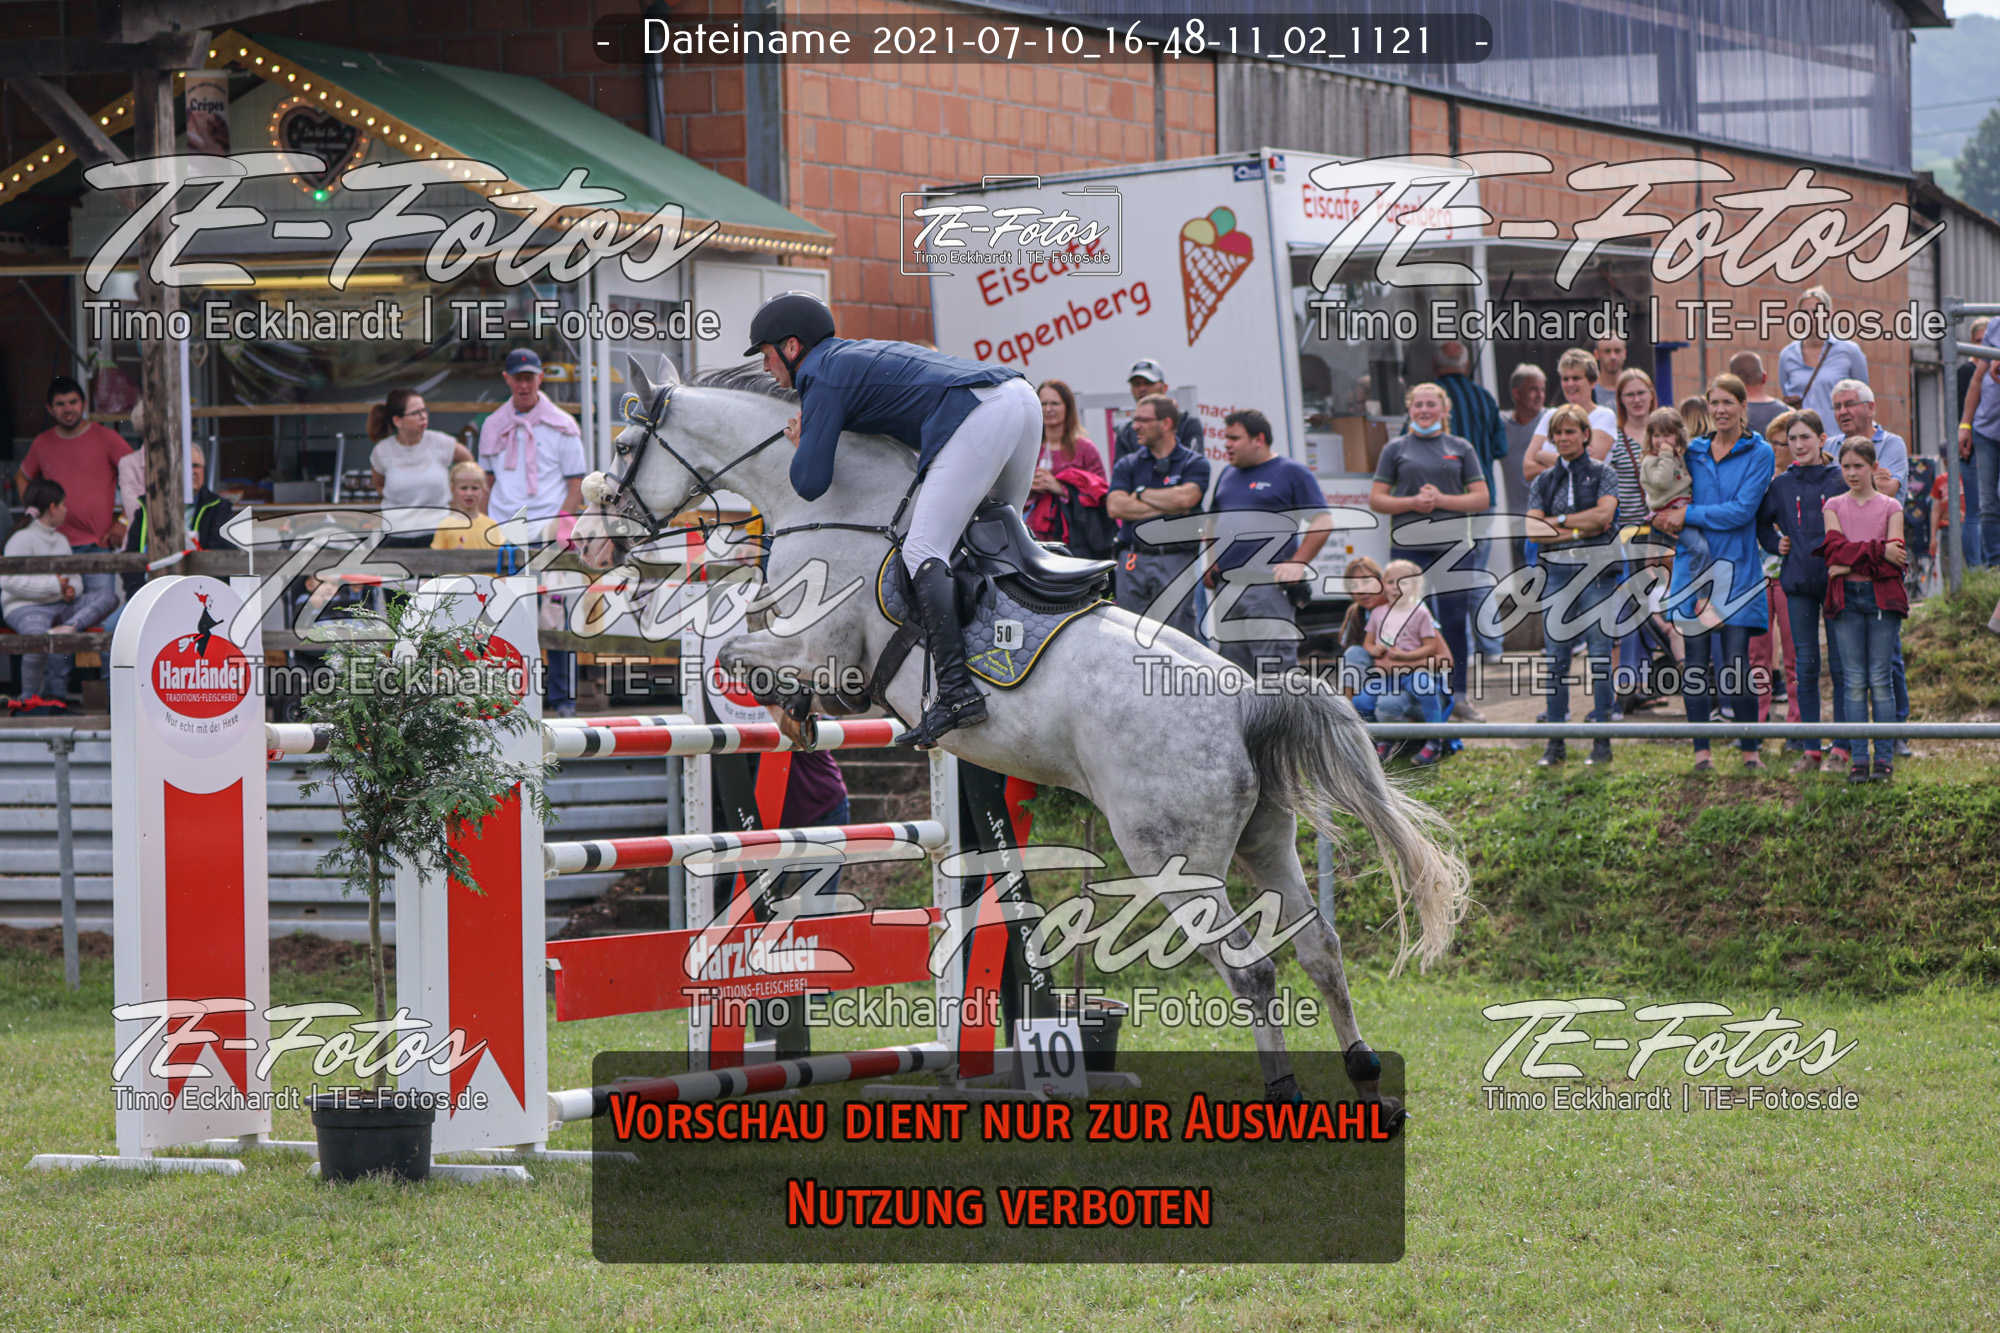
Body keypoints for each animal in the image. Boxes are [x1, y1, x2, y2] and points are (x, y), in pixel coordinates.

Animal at [584, 355, 1471, 1116]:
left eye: (625, 445)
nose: (602, 536)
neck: (838, 502)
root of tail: (1245, 701)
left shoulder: (820, 644)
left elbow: (742, 652)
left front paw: (792, 711)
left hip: (1173, 859)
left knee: (1252, 969)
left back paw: (1284, 1092)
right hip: (1264, 838)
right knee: (1319, 946)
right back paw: (1365, 1078)